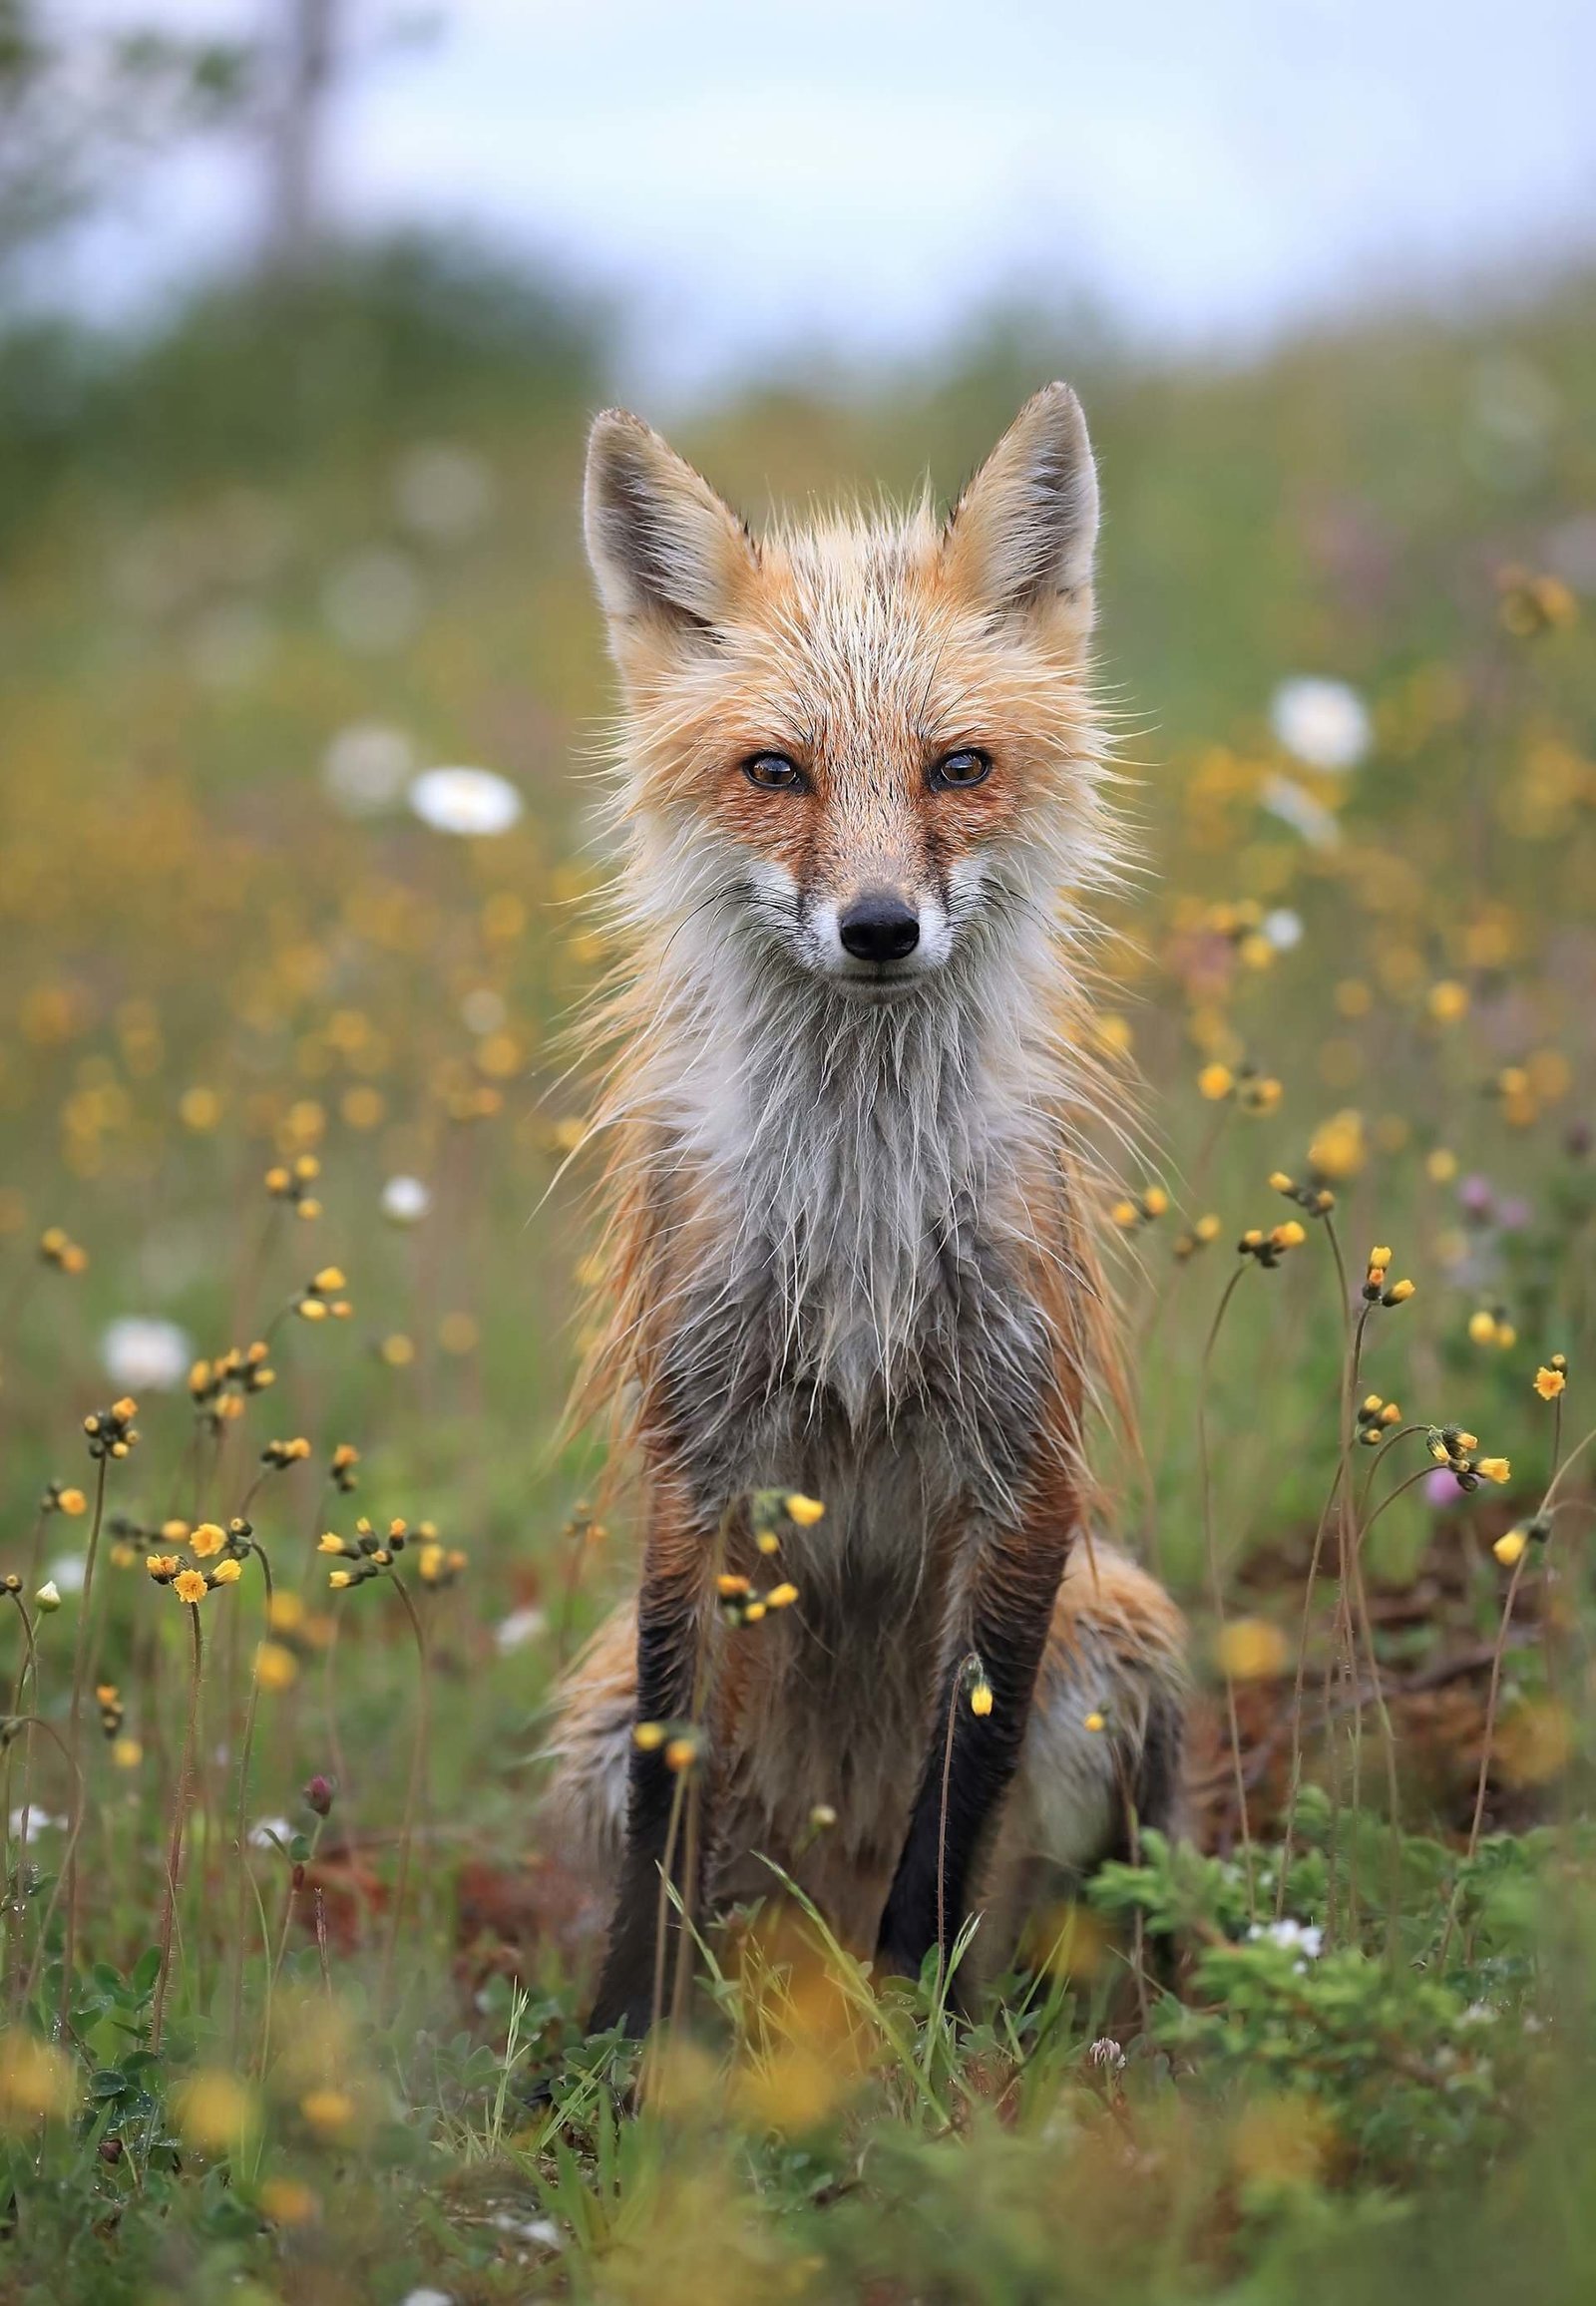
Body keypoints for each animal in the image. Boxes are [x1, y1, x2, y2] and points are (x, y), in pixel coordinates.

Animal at [546, 382, 1180, 2038]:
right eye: (778, 772)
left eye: (958, 766)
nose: (881, 927)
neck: (859, 1229)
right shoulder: (697, 1464)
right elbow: (670, 1797)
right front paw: (619, 2050)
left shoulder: (1024, 1466)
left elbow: (953, 1810)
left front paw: (909, 2038)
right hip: (590, 1707)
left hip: (1126, 1635)